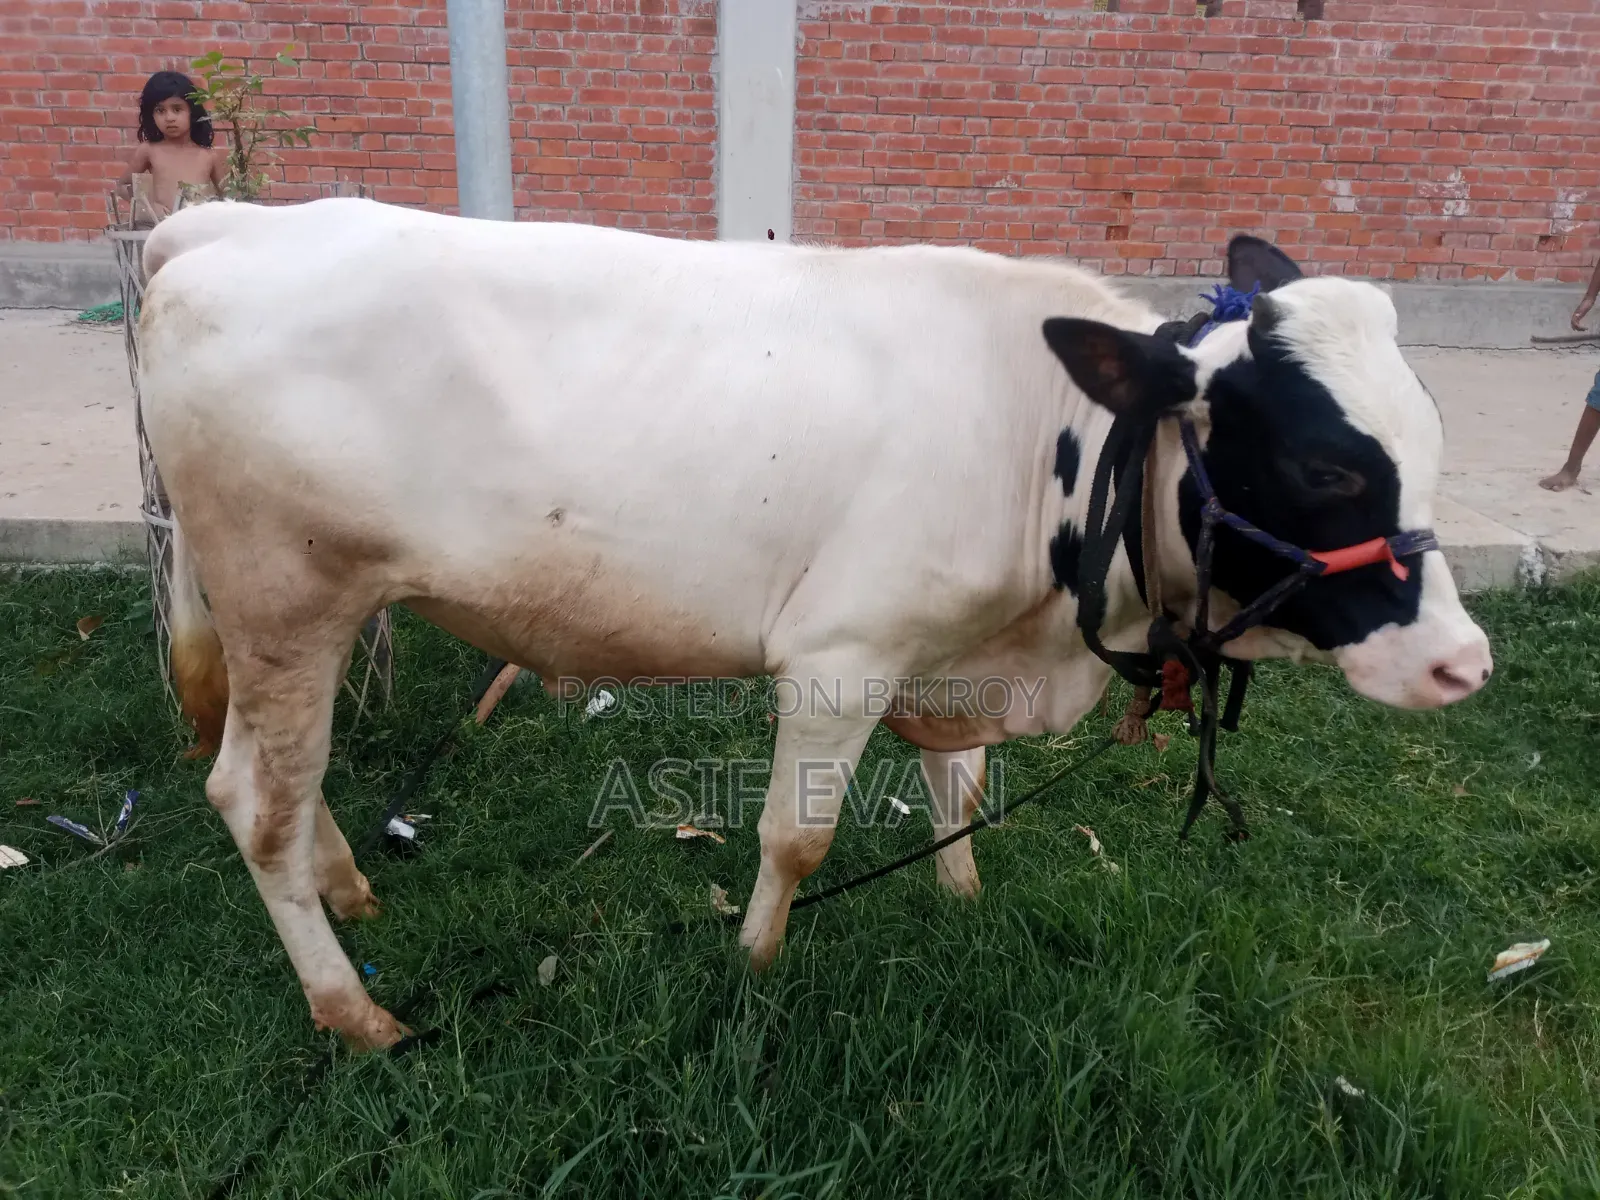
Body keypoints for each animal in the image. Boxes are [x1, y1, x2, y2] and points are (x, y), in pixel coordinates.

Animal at [138, 199, 1491, 1050]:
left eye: (1430, 437)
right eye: (1324, 469)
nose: (1462, 663)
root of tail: (227, 225)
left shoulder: (946, 650)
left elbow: (958, 781)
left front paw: (960, 899)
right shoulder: (839, 657)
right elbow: (795, 842)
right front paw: (751, 968)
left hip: (302, 617)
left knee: (291, 780)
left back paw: (352, 889)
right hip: (287, 595)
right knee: (253, 799)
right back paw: (353, 1012)